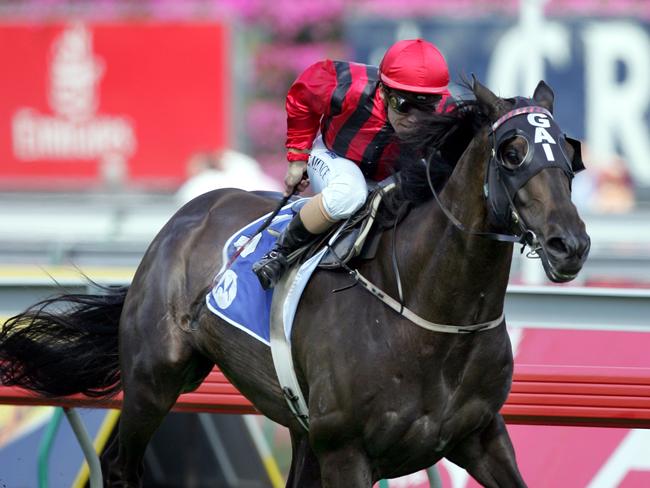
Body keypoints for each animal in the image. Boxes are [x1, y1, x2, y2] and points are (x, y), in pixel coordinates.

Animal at [0, 78, 588, 486]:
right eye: (512, 152)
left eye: (568, 153)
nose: (571, 244)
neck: (431, 314)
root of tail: (183, 216)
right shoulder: (347, 450)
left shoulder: (481, 436)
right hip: (153, 379)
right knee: (121, 464)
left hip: (296, 427)